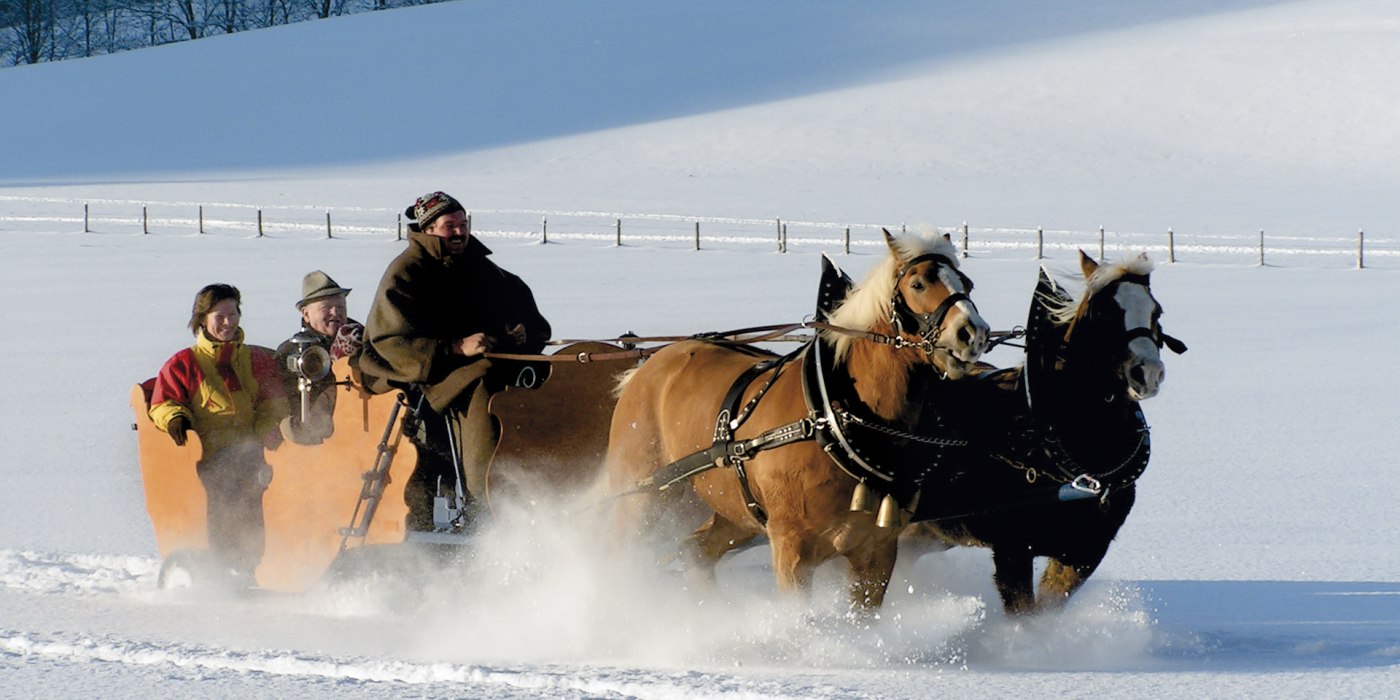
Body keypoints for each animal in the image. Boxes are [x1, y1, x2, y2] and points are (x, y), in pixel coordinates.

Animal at [607, 229, 991, 607]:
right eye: (918, 284)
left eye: (968, 284)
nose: (973, 334)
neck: (828, 422)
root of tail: (647, 367)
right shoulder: (792, 549)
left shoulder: (877, 552)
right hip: (642, 493)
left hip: (735, 508)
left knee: (696, 550)